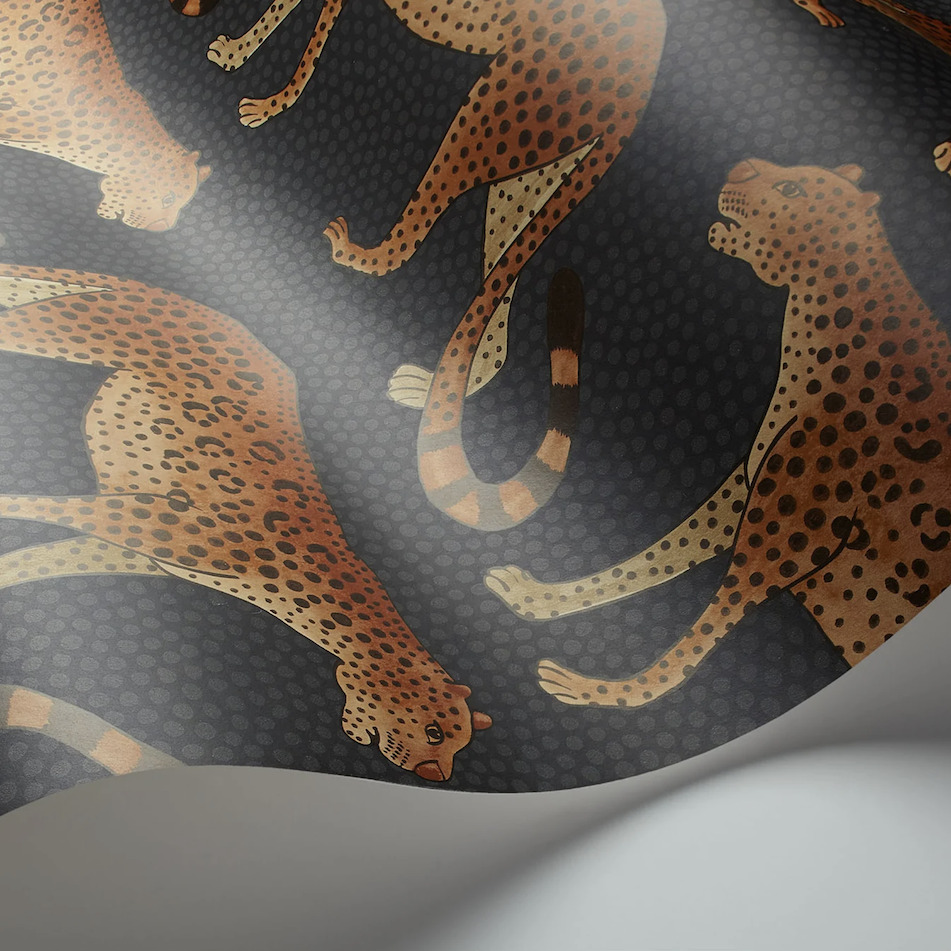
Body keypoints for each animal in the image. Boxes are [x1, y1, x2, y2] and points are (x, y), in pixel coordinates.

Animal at [0, 262, 492, 780]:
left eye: (459, 745)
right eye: (435, 732)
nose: (435, 776)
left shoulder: (130, 546)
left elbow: (36, 558)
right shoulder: (143, 515)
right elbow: (39, 507)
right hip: (60, 329)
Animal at [207, 0, 666, 427]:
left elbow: (310, 42)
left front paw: (271, 103)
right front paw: (236, 53)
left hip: (487, 114)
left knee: (410, 243)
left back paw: (356, 255)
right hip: (528, 177)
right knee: (496, 321)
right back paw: (428, 388)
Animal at [487, 158, 951, 709]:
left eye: (791, 188)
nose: (740, 166)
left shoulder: (783, 545)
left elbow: (698, 637)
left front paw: (598, 692)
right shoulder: (743, 495)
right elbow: (650, 561)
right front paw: (539, 599)